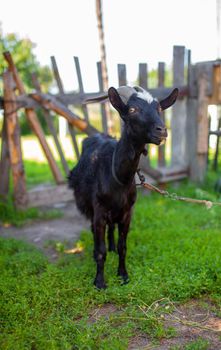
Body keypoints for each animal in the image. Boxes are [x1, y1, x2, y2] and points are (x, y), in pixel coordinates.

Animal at [68, 86, 179, 288]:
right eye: (133, 109)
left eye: (159, 108)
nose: (162, 130)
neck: (117, 177)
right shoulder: (99, 212)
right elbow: (101, 249)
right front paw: (100, 282)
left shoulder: (127, 213)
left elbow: (123, 247)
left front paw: (123, 275)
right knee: (94, 231)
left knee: (111, 230)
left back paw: (111, 246)